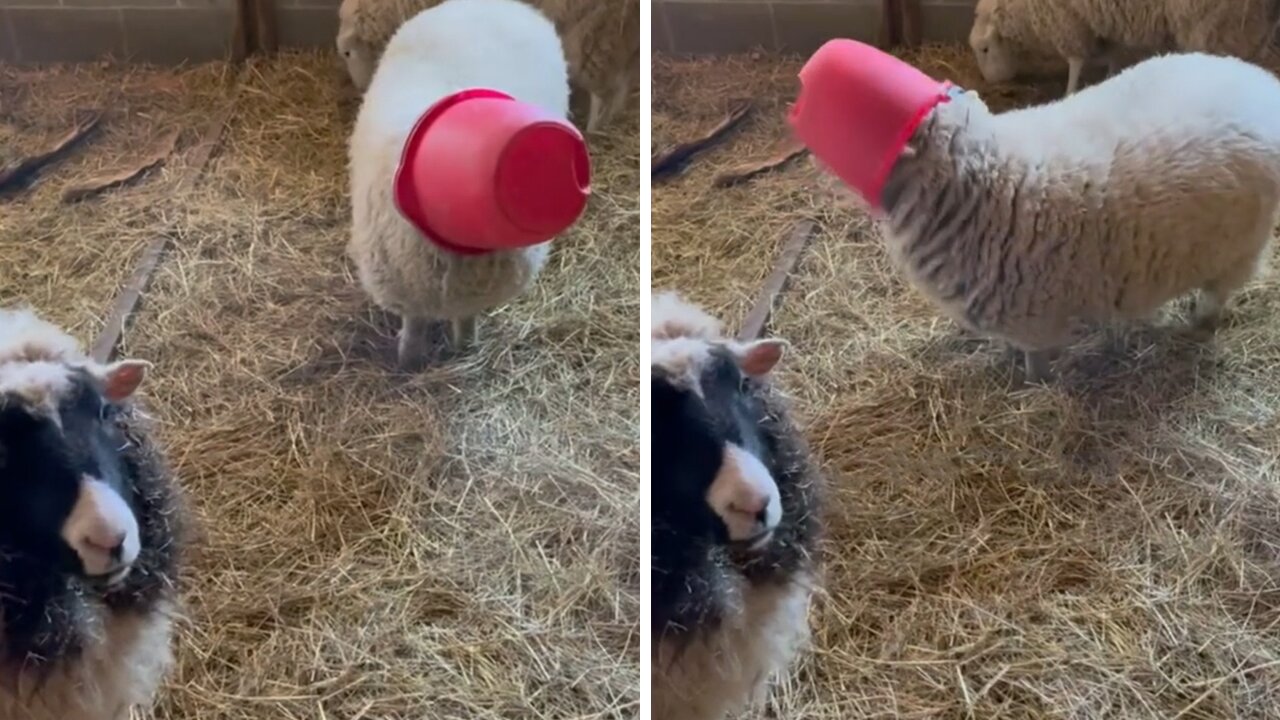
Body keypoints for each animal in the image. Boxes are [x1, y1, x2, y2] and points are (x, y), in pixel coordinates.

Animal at [350, 0, 570, 368]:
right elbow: (415, 322)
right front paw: (409, 359)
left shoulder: (472, 294)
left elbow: (465, 318)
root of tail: (501, 5)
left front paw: (464, 346)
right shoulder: (406, 288)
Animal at [870, 51, 1280, 381]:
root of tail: (1259, 81)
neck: (990, 178)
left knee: (1218, 293)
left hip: (1241, 248)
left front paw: (1034, 384)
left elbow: (1036, 362)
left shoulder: (1031, 315)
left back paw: (1197, 325)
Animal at [967, 0, 1280, 95]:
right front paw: (1111, 76)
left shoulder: (1068, 21)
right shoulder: (1102, 20)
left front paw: (1069, 93)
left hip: (1209, 22)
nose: (989, 82)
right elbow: (1112, 53)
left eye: (984, 49)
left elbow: (1075, 62)